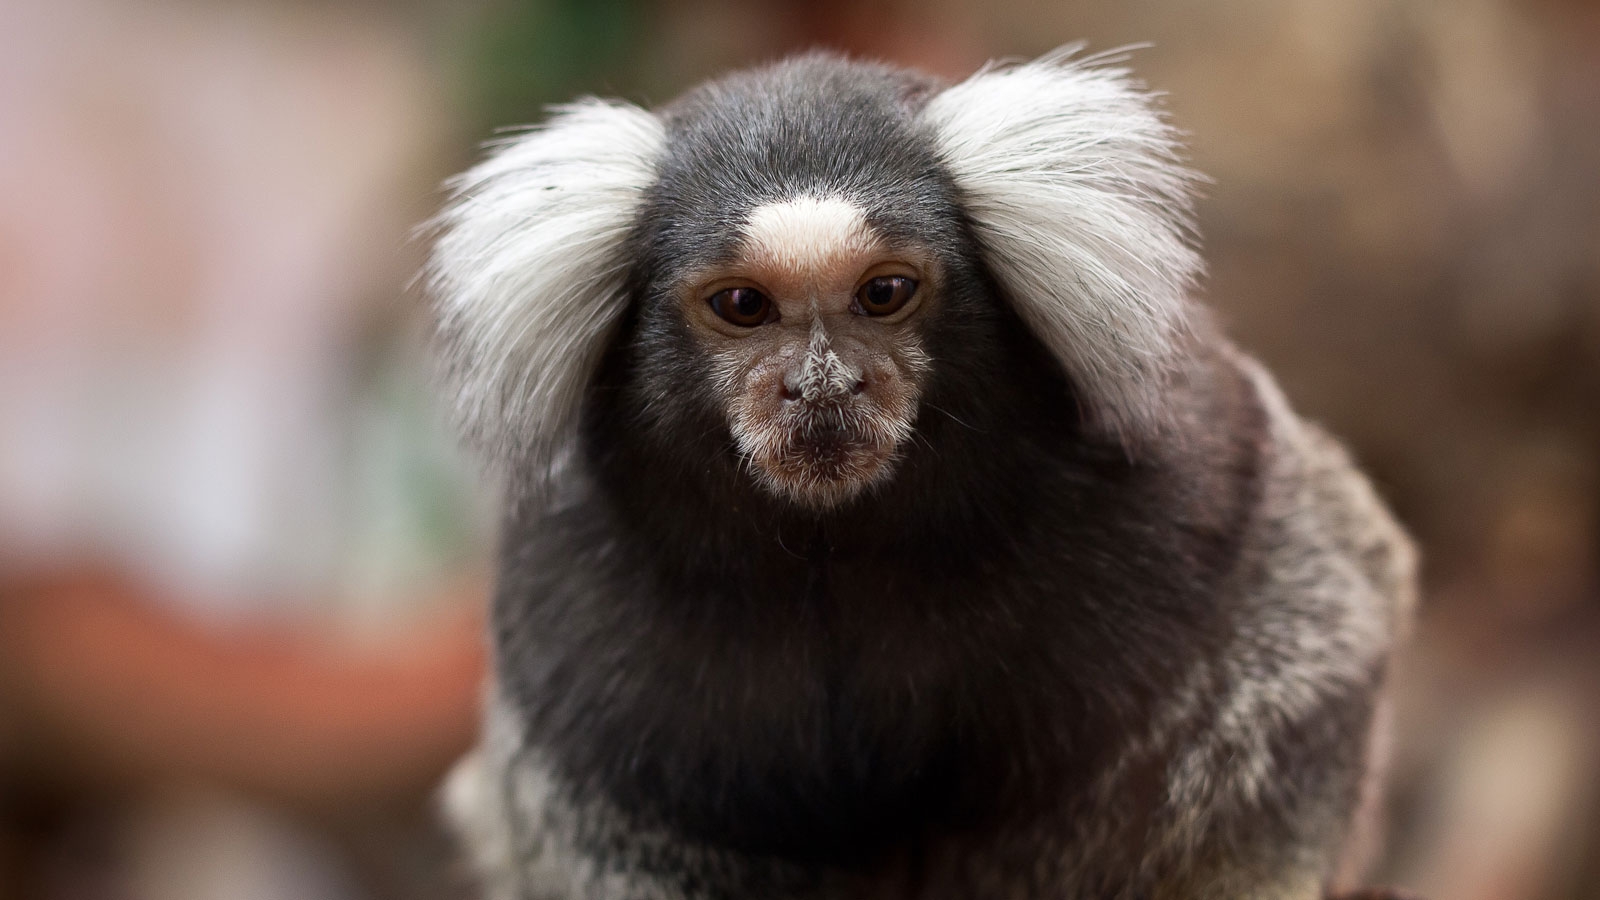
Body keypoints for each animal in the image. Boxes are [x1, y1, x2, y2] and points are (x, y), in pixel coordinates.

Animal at [427, 48, 1418, 900]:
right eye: (743, 306)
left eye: (884, 293)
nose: (823, 385)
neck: (835, 545)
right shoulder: (568, 627)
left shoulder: (1199, 486)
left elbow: (1293, 658)